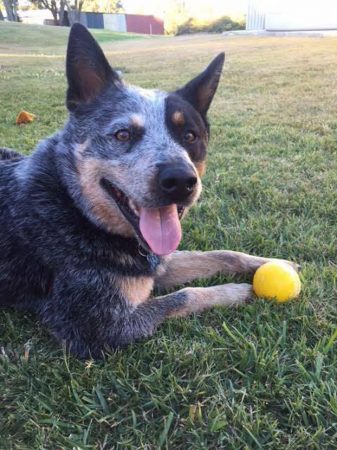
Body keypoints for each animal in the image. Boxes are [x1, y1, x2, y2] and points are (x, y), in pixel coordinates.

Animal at [0, 24, 296, 356]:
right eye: (123, 134)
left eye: (190, 135)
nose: (180, 180)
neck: (75, 208)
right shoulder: (94, 326)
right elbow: (184, 296)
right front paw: (236, 291)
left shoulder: (155, 264)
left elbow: (220, 255)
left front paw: (274, 263)